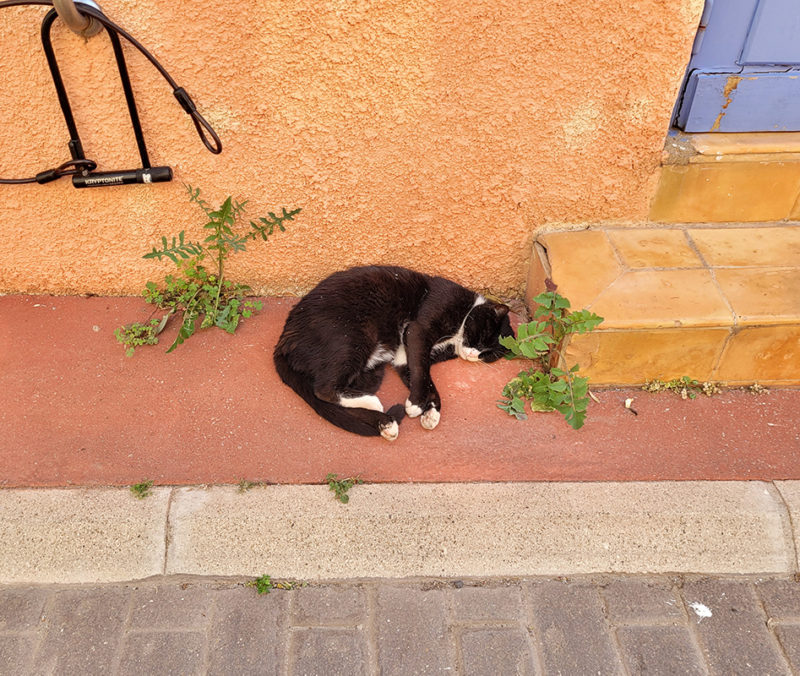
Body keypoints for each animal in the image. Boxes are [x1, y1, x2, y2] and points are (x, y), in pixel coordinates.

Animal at [274, 266, 512, 440]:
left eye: (488, 355)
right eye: (481, 336)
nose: (473, 355)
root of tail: (285, 337)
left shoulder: (404, 358)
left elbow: (426, 379)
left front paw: (431, 413)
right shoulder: (418, 330)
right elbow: (421, 370)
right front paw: (416, 405)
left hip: (369, 371)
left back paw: (385, 423)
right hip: (352, 337)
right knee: (323, 390)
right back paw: (376, 405)